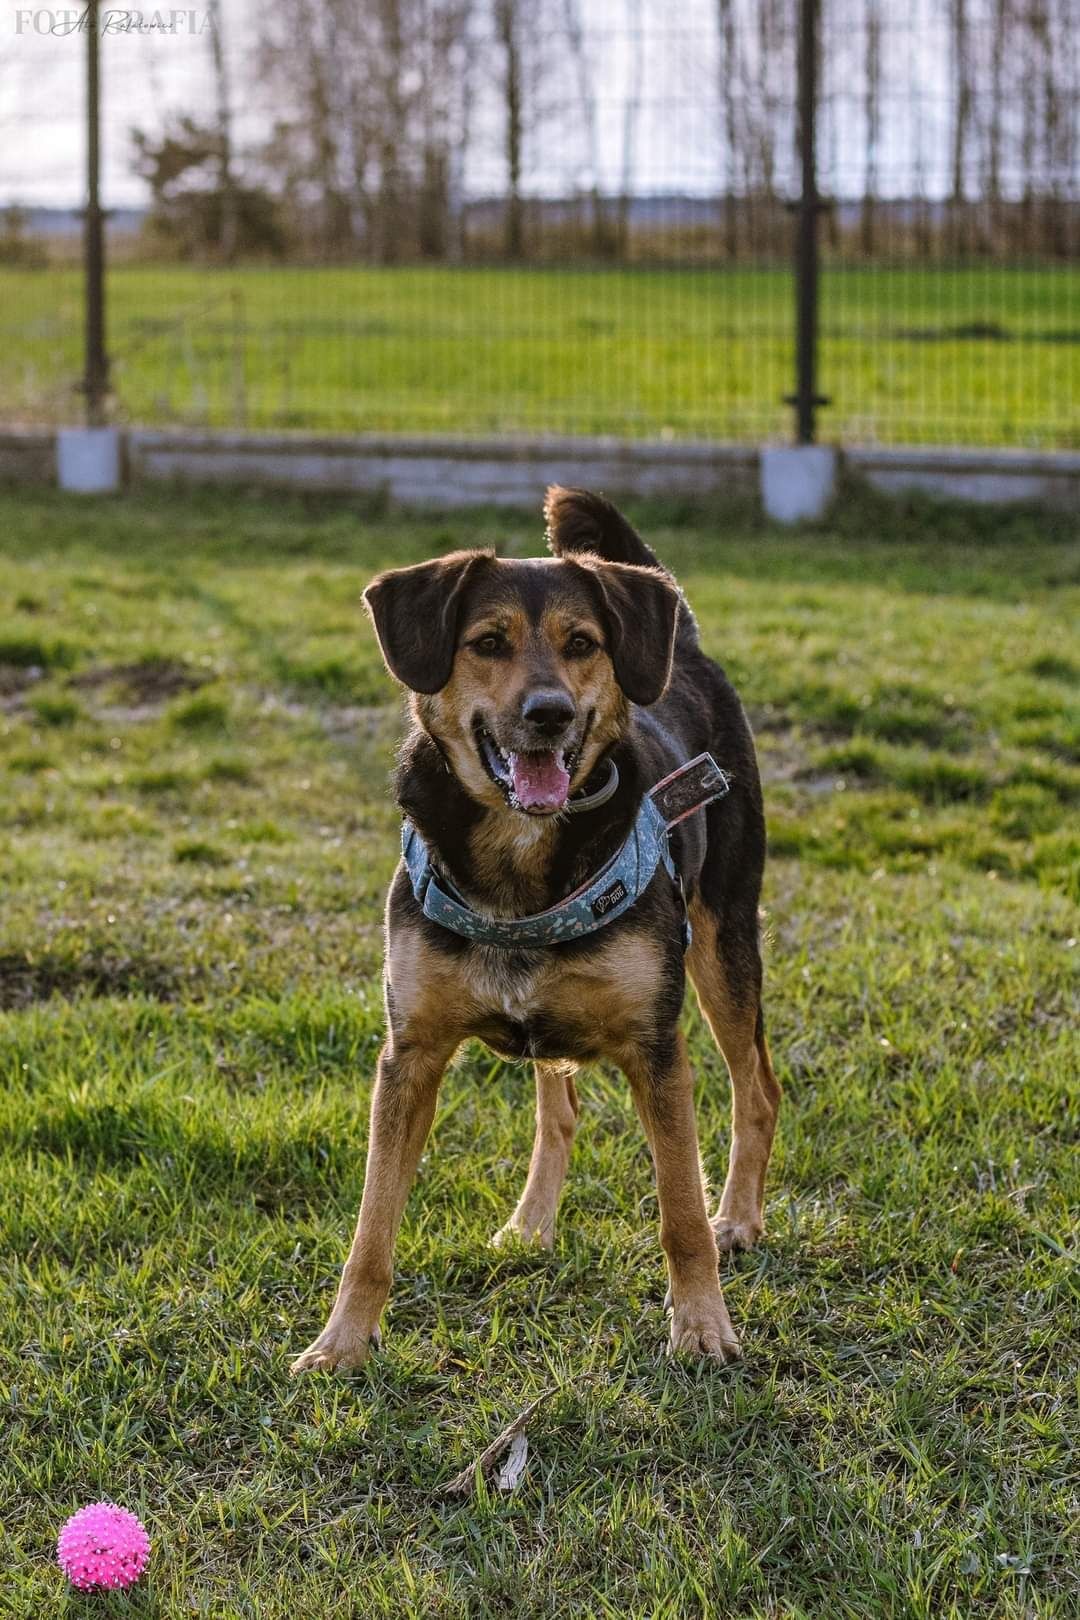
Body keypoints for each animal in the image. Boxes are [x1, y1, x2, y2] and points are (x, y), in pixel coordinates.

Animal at [291, 486, 780, 1373]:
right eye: (488, 643)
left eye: (582, 644)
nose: (548, 714)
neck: (522, 856)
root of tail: (683, 642)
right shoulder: (408, 1054)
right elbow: (372, 1228)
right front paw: (342, 1343)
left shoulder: (657, 1048)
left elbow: (679, 1215)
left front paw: (702, 1325)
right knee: (561, 1108)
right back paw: (531, 1223)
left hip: (726, 942)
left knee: (757, 1088)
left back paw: (740, 1217)